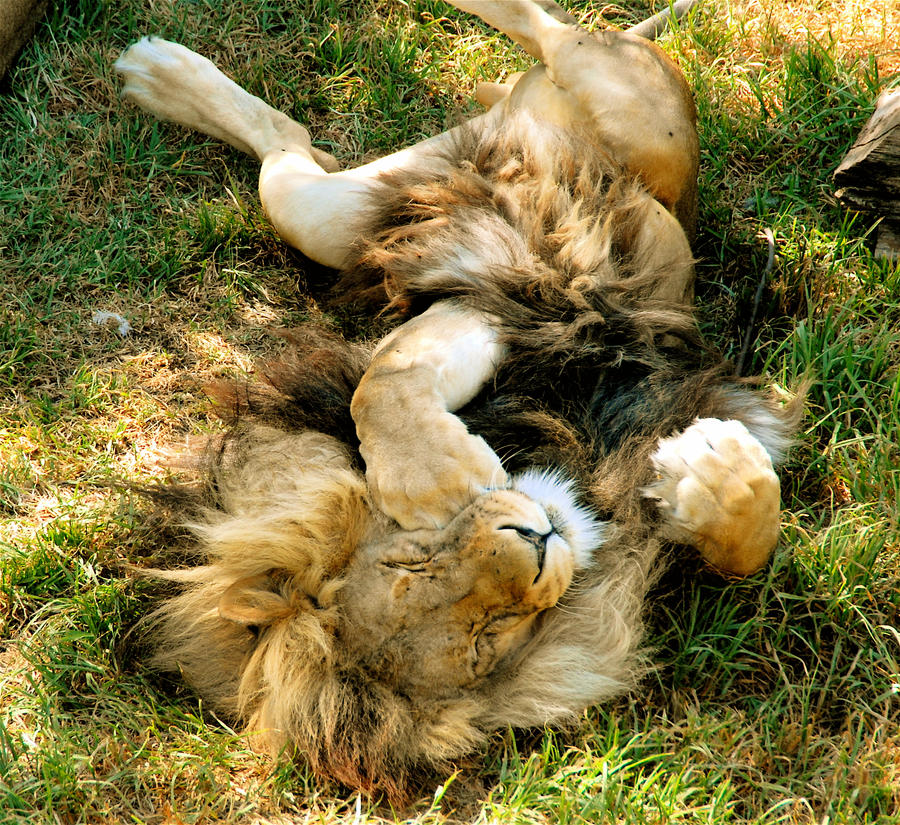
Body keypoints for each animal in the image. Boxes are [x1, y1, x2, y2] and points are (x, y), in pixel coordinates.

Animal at [114, 0, 796, 799]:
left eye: (412, 559)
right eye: (483, 638)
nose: (537, 539)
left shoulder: (519, 303)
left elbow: (385, 380)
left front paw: (444, 477)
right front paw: (713, 471)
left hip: (595, 134)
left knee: (552, 31)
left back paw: (157, 66)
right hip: (341, 214)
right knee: (294, 144)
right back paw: (155, 74)